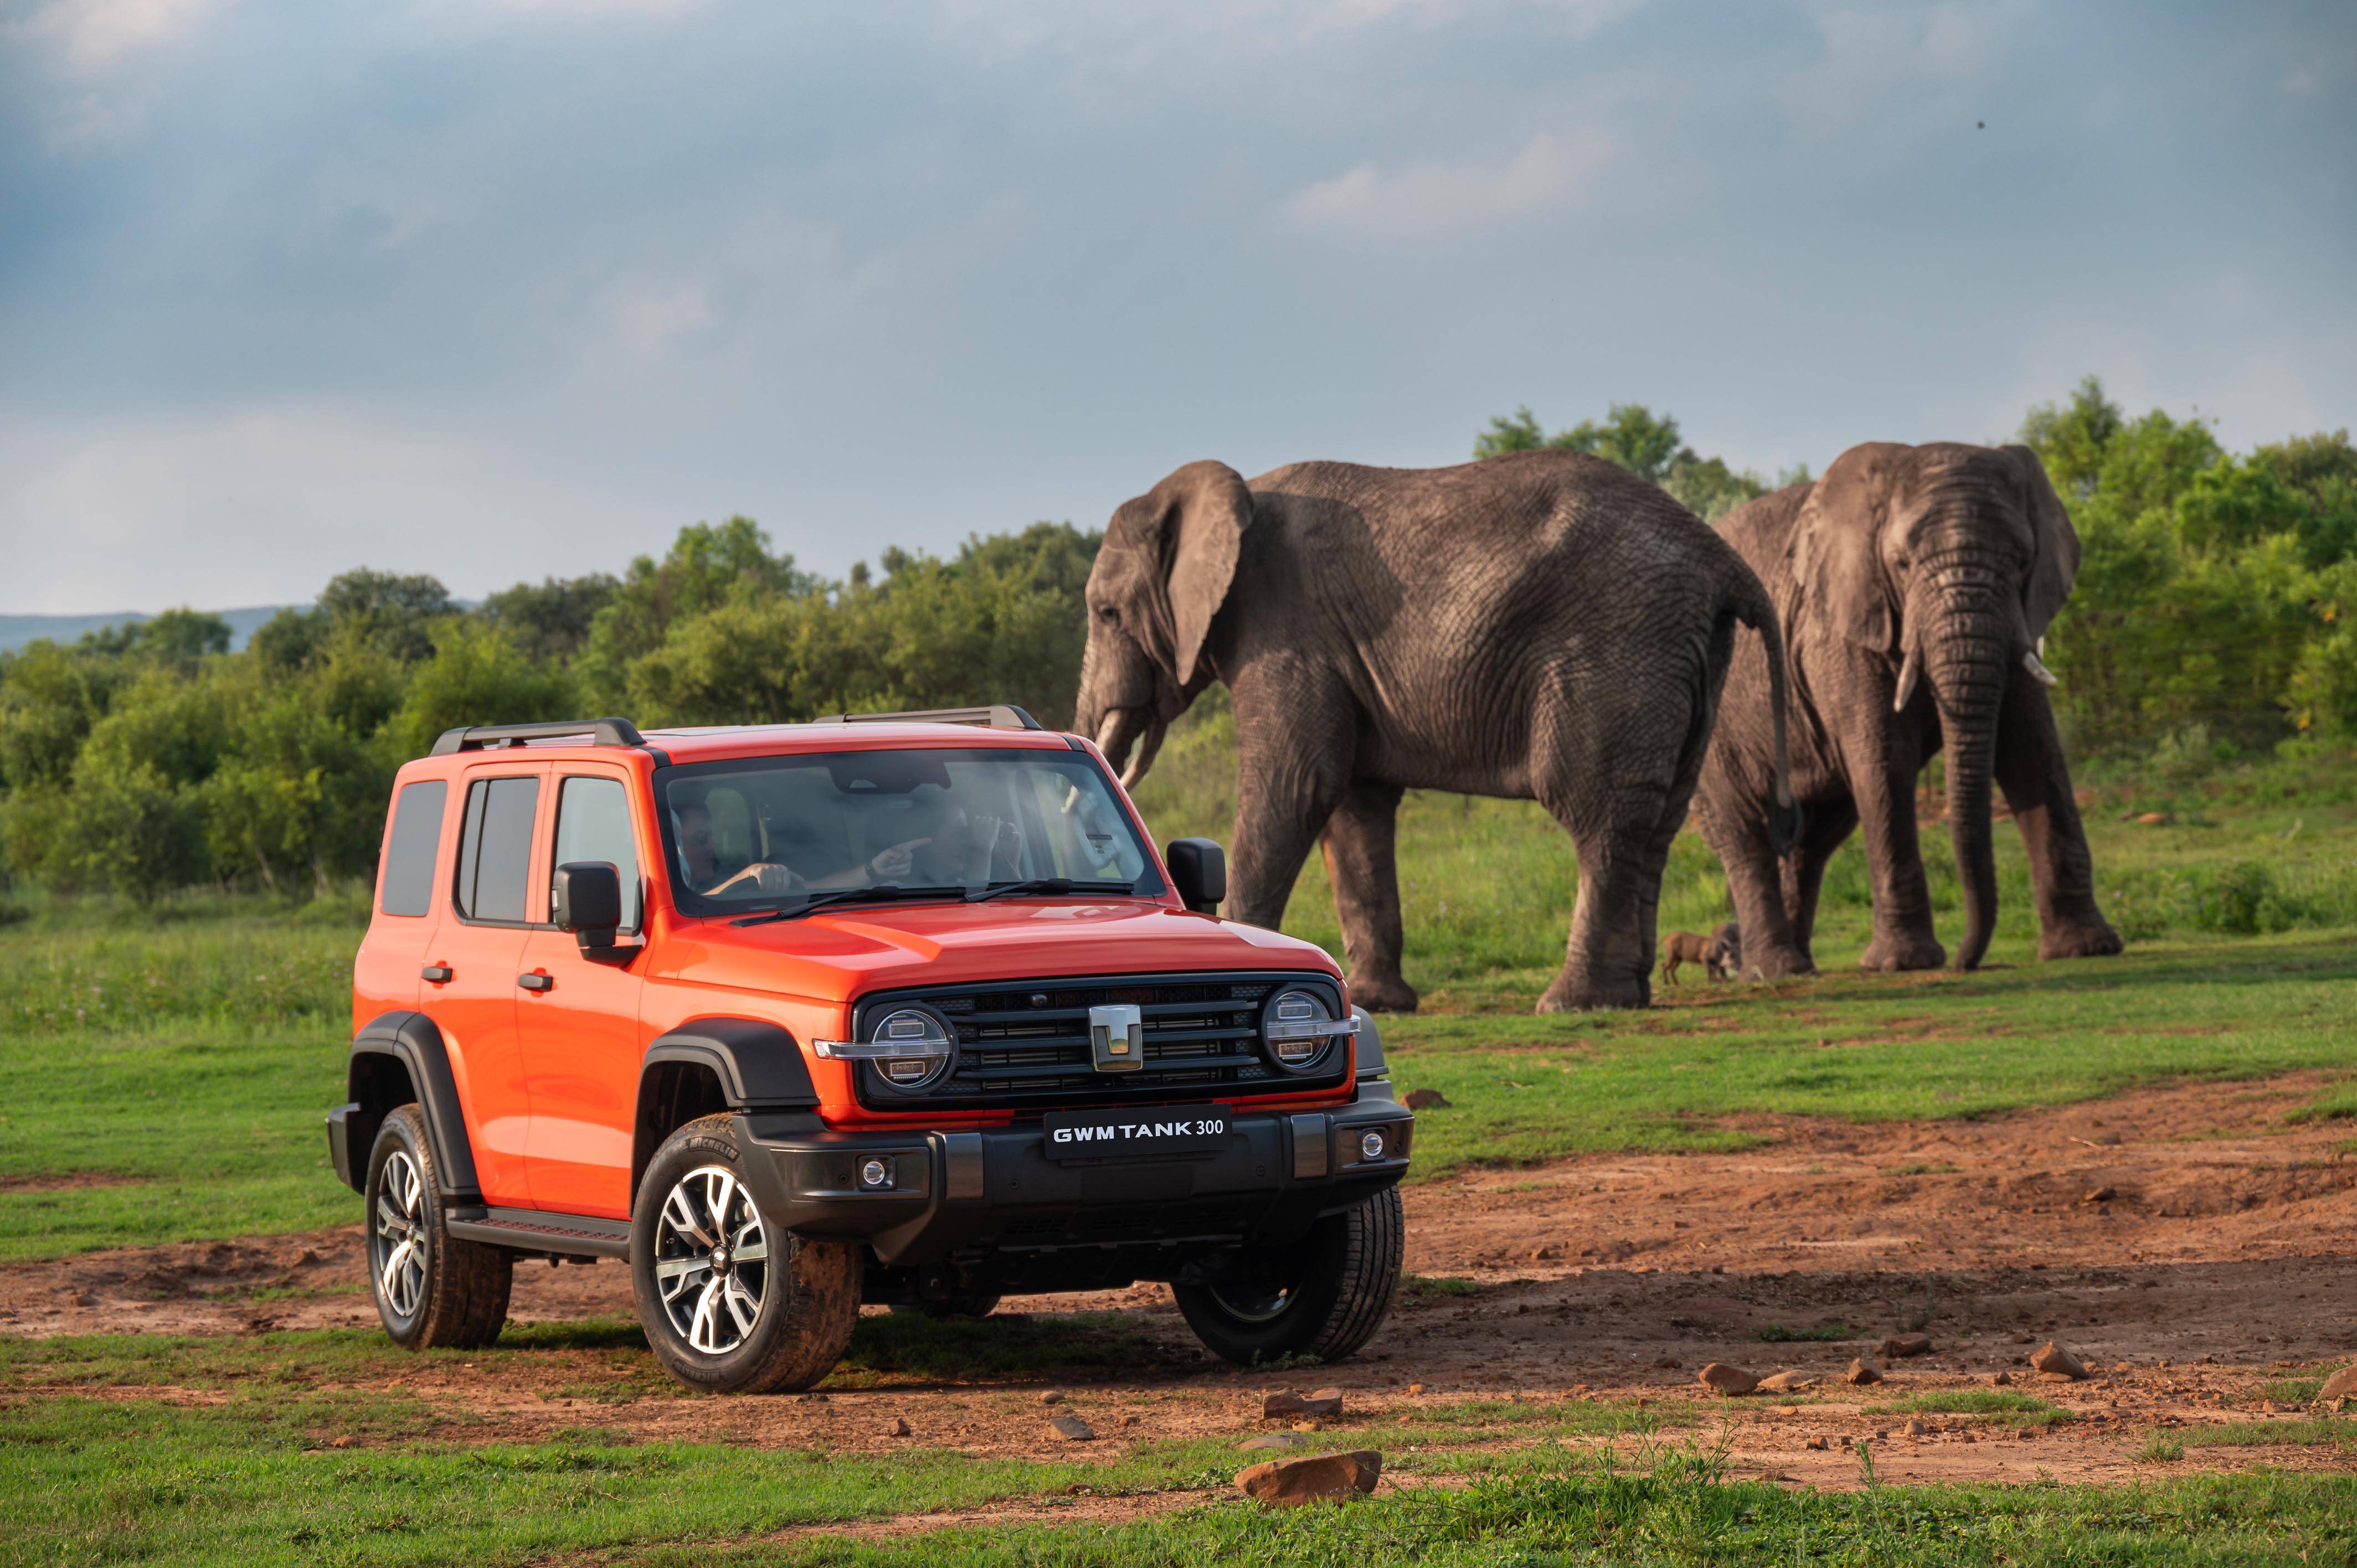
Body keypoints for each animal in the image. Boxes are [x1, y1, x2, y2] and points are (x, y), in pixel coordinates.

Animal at [1079, 452, 1791, 1014]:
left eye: (1105, 613)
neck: (1230, 491)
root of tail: (1715, 553)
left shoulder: (1286, 632)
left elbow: (1298, 784)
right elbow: (1354, 808)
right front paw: (1379, 1004)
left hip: (1618, 649)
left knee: (1598, 812)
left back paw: (1572, 1004)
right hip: (1686, 659)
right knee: (1658, 821)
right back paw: (1627, 996)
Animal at [1687, 441, 2130, 971]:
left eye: (2023, 560)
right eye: (1901, 564)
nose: (1966, 962)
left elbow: (2031, 752)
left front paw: (2087, 948)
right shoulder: (1840, 634)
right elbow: (1885, 760)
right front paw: (1905, 963)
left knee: (1810, 842)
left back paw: (1800, 966)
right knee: (1743, 836)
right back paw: (1775, 970)